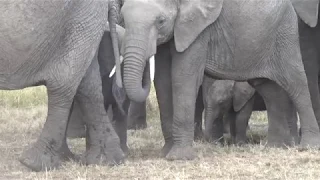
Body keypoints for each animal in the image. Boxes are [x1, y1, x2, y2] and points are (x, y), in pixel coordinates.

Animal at [0, 0, 125, 172]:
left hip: (78, 20)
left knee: (63, 83)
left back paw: (34, 163)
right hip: (85, 22)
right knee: (88, 84)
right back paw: (105, 160)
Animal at [119, 0, 320, 160]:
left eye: (160, 21)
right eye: (123, 18)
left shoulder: (198, 31)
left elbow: (183, 77)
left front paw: (178, 158)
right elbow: (162, 82)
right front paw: (165, 153)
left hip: (285, 35)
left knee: (296, 84)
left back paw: (308, 146)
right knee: (268, 89)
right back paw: (276, 147)